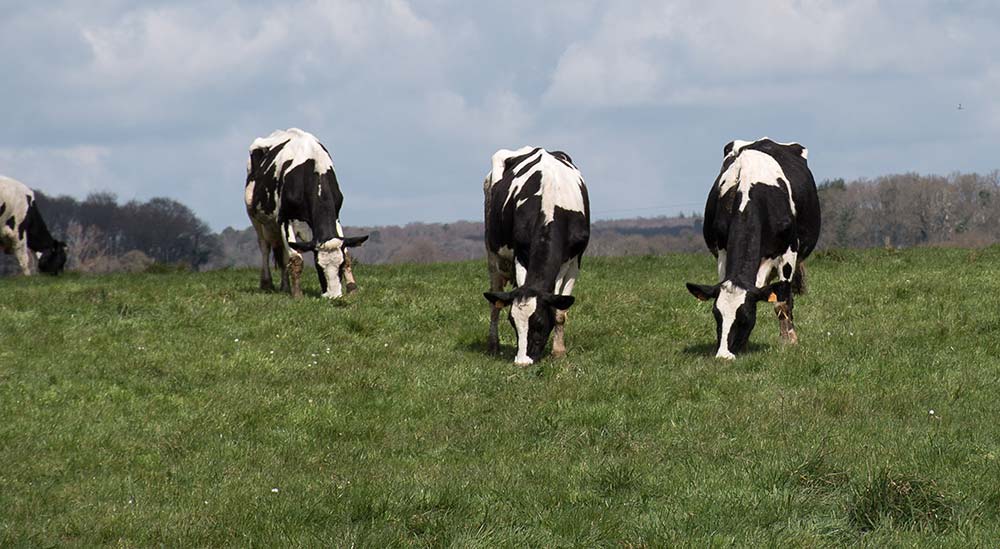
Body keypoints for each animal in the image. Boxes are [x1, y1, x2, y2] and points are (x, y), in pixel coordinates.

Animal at [244, 127, 370, 300]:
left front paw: (352, 288)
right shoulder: (285, 218)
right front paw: (297, 294)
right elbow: (296, 259)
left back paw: (285, 287)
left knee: (283, 255)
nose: (333, 296)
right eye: (318, 265)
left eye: (341, 264)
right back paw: (267, 283)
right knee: (265, 246)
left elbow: (346, 252)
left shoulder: (336, 216)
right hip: (254, 215)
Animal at [482, 148, 588, 366]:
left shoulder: (574, 260)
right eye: (512, 322)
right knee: (494, 302)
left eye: (539, 323)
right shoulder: (521, 254)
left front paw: (558, 351)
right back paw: (493, 345)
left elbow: (560, 310)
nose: (523, 362)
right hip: (492, 254)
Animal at [688, 137, 820, 360]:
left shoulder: (788, 251)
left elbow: (782, 301)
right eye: (716, 315)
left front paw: (789, 341)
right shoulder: (722, 251)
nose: (723, 356)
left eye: (746, 316)